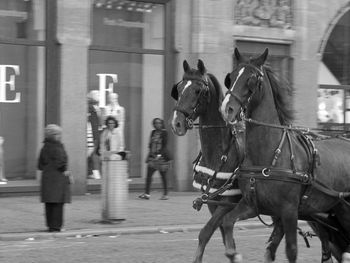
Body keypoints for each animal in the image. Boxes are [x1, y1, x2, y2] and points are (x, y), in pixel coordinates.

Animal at [172, 59, 284, 263]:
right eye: (179, 87)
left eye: (198, 90)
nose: (176, 123)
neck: (220, 153)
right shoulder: (213, 202)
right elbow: (222, 234)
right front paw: (233, 254)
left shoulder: (228, 201)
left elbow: (206, 232)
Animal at [220, 48, 350, 262]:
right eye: (230, 77)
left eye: (252, 79)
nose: (226, 109)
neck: (270, 155)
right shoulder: (253, 205)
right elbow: (227, 222)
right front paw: (233, 254)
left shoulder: (288, 211)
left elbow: (291, 251)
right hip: (336, 208)